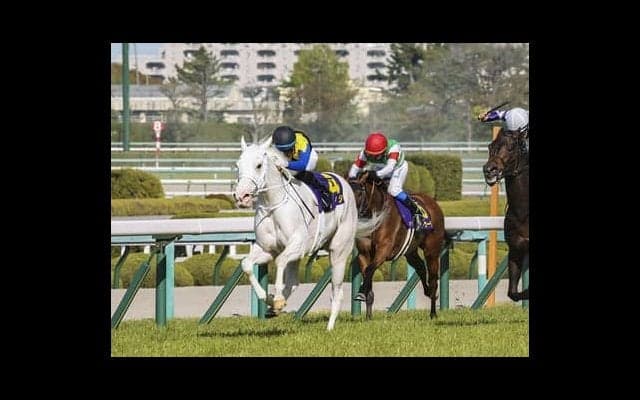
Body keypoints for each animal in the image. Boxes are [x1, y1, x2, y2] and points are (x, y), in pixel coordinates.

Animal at [233, 136, 384, 330]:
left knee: (337, 291)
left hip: (339, 251)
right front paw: (269, 300)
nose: (241, 196)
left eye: (259, 165)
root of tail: (344, 182)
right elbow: (246, 264)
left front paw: (278, 299)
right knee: (294, 282)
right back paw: (274, 308)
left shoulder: (299, 246)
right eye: (238, 165)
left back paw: (329, 327)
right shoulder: (267, 249)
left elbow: (280, 261)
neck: (273, 204)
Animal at [348, 170, 446, 319]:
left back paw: (433, 312)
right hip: (410, 252)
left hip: (432, 250)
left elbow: (370, 270)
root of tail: (433, 203)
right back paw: (427, 291)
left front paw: (361, 292)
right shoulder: (363, 255)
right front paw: (368, 315)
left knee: (434, 279)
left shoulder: (384, 250)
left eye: (360, 193)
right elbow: (367, 274)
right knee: (420, 267)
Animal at [483, 127, 529, 301]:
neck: (523, 212)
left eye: (511, 147)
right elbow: (513, 293)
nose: (489, 170)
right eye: (490, 146)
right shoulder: (516, 249)